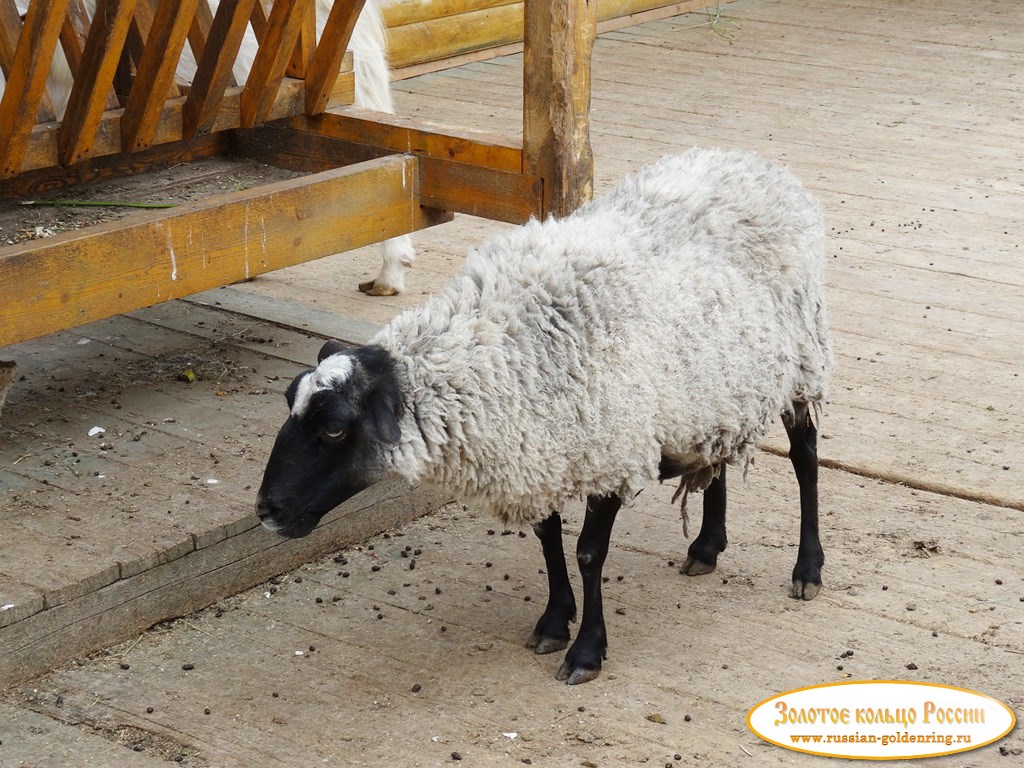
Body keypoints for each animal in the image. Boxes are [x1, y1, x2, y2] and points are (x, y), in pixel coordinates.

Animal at [253, 148, 831, 684]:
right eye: (287, 401)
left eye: (334, 429)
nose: (266, 510)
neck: (508, 347)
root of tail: (752, 160)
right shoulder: (537, 447)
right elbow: (548, 537)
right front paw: (554, 622)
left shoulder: (610, 453)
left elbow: (589, 553)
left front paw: (586, 650)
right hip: (715, 389)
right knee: (716, 460)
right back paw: (707, 547)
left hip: (804, 363)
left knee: (805, 459)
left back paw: (807, 569)